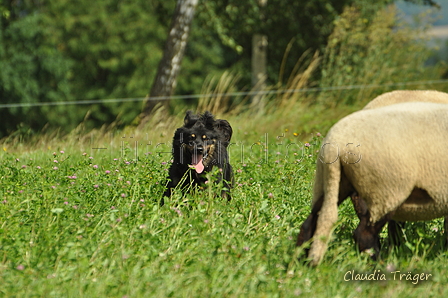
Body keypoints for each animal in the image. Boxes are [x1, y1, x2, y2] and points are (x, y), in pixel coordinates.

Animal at [296, 102, 448, 266]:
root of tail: (336, 142)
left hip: (331, 182)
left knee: (310, 224)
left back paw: (301, 263)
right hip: (384, 190)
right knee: (364, 235)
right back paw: (380, 266)